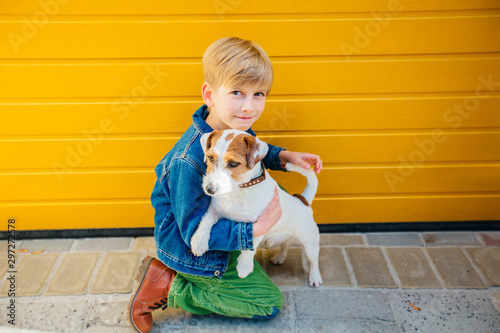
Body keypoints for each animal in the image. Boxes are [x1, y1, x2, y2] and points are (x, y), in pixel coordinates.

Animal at [189, 128, 322, 286]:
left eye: (233, 163)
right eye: (210, 158)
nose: (209, 190)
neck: (237, 192)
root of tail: (303, 201)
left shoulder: (259, 224)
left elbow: (249, 248)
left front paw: (244, 266)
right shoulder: (215, 210)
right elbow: (205, 221)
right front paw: (198, 241)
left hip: (310, 243)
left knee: (313, 261)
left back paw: (315, 277)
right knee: (285, 243)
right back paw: (280, 257)